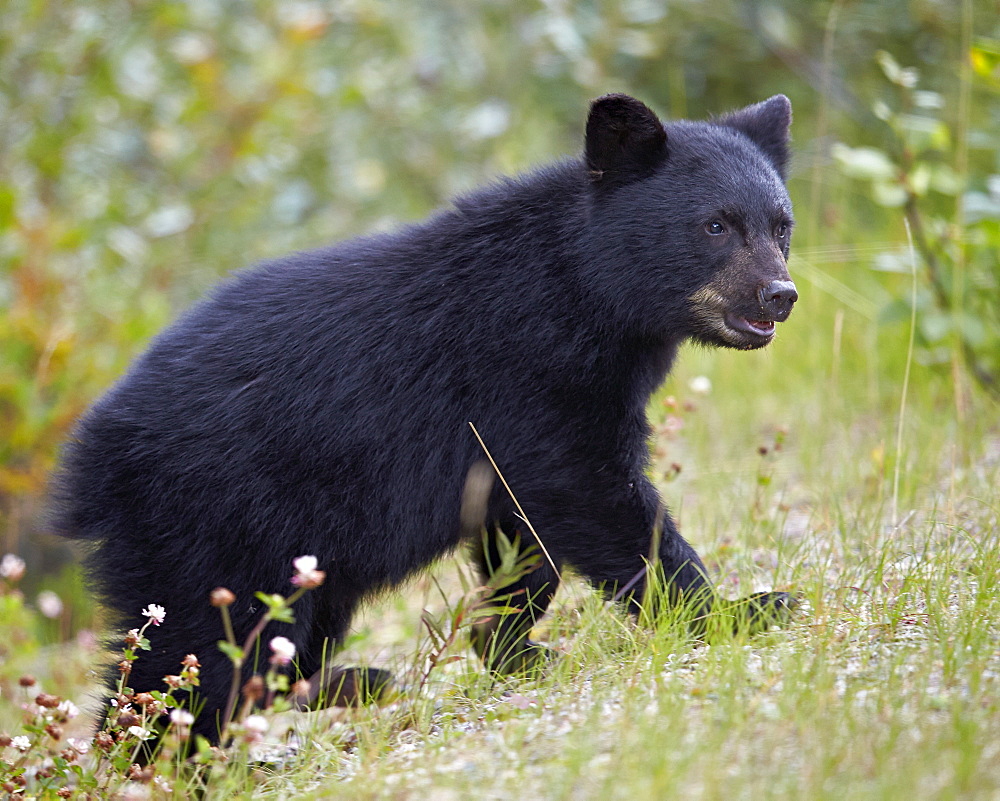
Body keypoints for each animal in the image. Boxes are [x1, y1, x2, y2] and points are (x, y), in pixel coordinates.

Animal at [56, 94, 796, 744]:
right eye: (715, 225)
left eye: (781, 224)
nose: (779, 294)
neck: (589, 294)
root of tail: (87, 462)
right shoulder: (531, 374)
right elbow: (595, 496)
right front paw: (741, 609)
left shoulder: (516, 429)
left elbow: (522, 537)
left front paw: (510, 646)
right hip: (214, 527)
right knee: (196, 660)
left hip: (303, 555)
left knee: (278, 646)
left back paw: (355, 682)